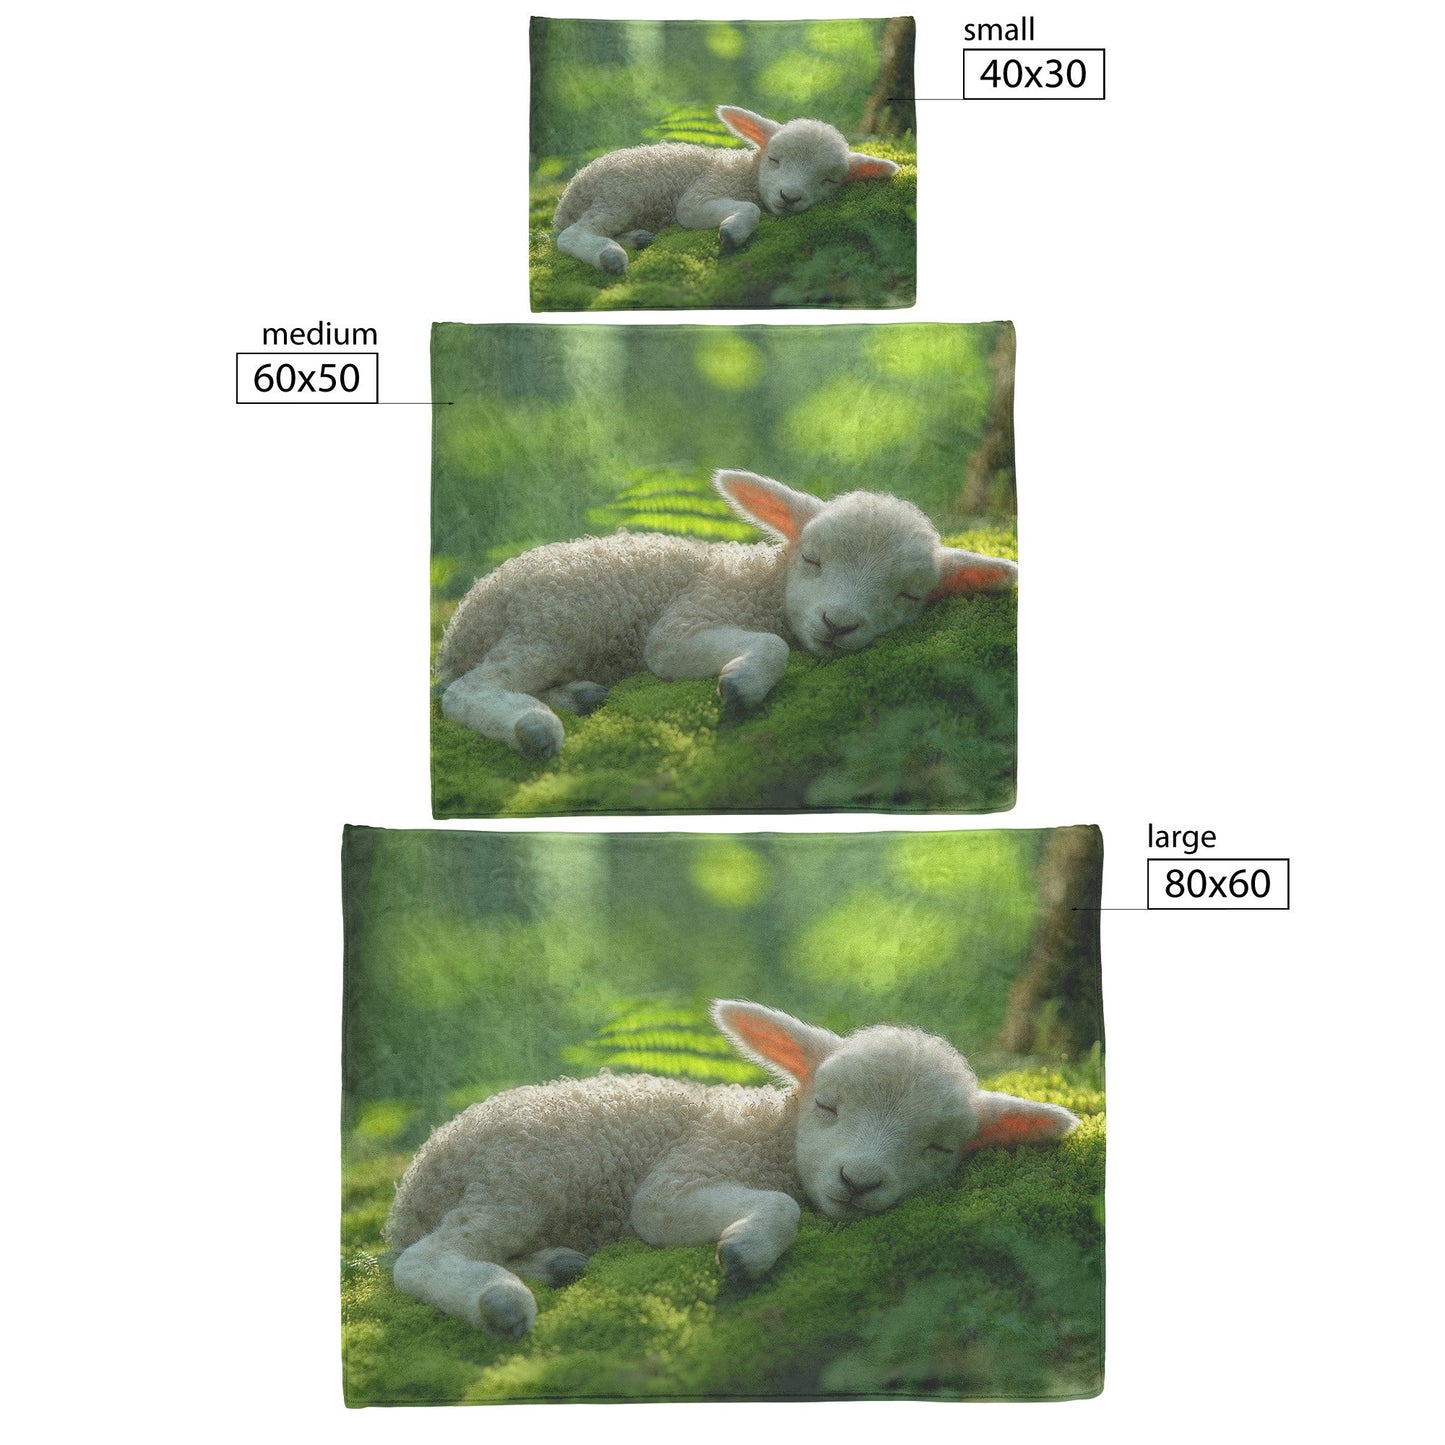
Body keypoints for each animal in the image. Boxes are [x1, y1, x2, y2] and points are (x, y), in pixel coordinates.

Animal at [386, 999, 1079, 1336]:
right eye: (827, 1105)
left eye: (938, 1149)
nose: (857, 1181)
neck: (767, 1133)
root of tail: (412, 1185)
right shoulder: (679, 1178)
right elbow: (776, 1206)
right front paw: (748, 1252)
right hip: (518, 1176)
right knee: (423, 1259)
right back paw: (499, 1302)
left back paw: (555, 1264)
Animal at [436, 468, 1018, 759]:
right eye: (812, 558)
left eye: (908, 597)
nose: (838, 624)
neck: (760, 581)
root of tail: (460, 625)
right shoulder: (686, 620)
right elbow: (769, 646)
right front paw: (743, 685)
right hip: (548, 622)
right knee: (465, 691)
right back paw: (532, 726)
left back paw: (578, 695)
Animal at [552, 105, 900, 274]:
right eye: (774, 159)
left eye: (829, 180)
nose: (789, 197)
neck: (744, 172)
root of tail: (567, 197)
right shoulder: (699, 195)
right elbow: (749, 209)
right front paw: (734, 233)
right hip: (620, 195)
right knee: (571, 235)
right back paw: (610, 256)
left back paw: (636, 238)